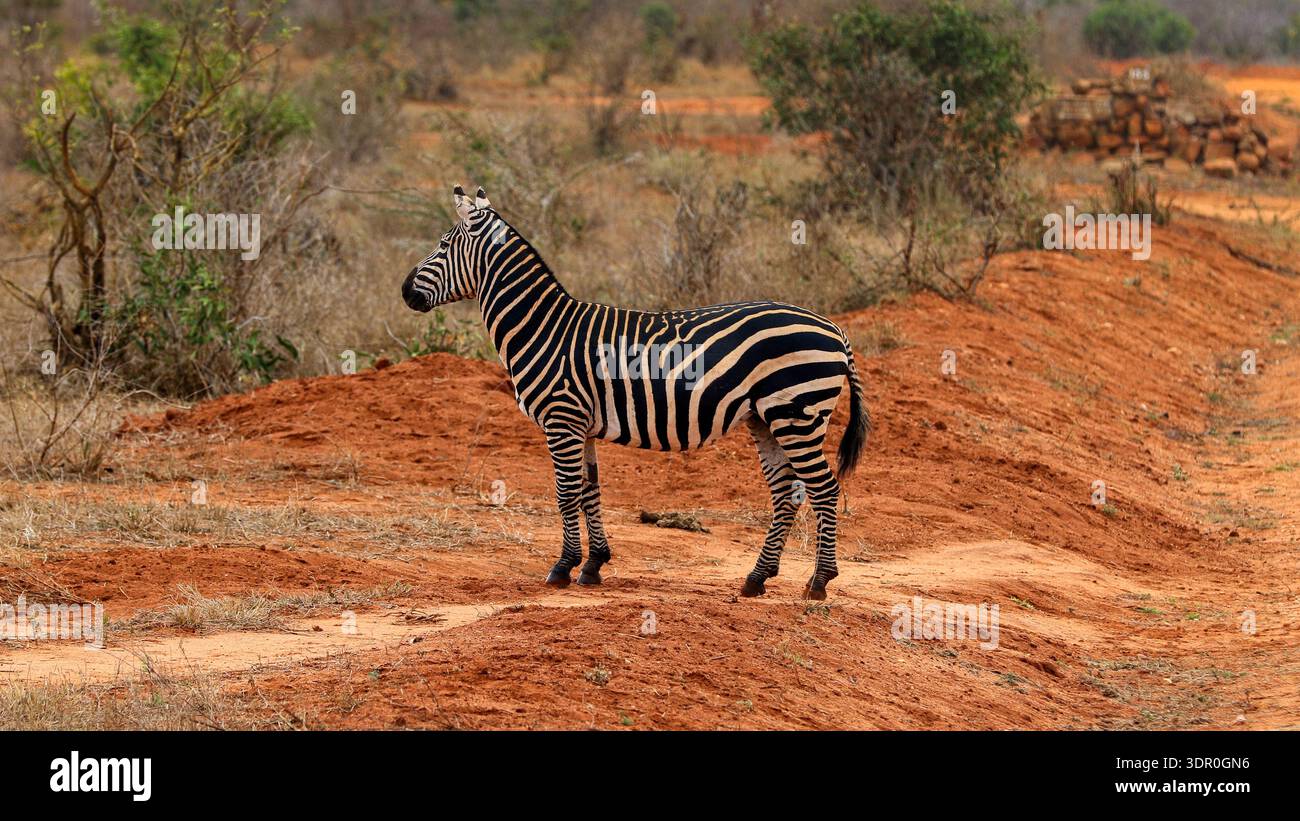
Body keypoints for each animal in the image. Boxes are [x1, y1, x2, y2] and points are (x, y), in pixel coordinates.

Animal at [402, 185, 869, 599]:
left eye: (443, 244)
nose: (405, 291)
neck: (543, 327)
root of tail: (834, 328)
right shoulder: (582, 425)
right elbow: (590, 491)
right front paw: (593, 564)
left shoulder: (561, 418)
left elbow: (566, 493)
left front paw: (563, 567)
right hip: (765, 419)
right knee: (787, 494)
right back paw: (757, 578)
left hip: (796, 415)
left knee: (824, 490)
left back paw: (819, 582)